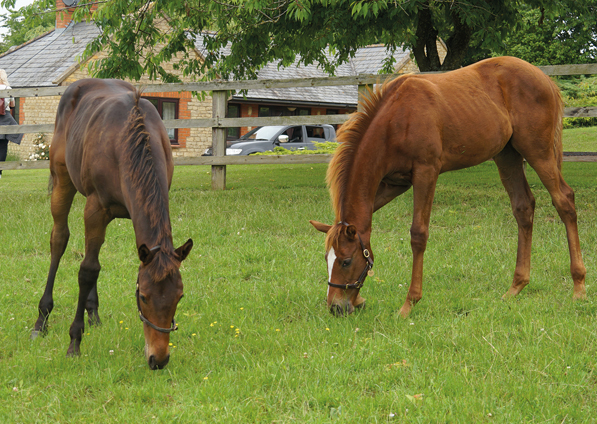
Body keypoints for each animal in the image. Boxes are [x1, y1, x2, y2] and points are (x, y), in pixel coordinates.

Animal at [32, 78, 193, 368]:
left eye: (180, 296)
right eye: (143, 297)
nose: (159, 359)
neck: (132, 141)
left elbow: (94, 264)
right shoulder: (95, 209)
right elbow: (87, 271)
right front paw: (75, 341)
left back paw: (93, 314)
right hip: (62, 181)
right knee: (59, 239)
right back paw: (42, 319)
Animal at [310, 58, 584, 318]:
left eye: (346, 262)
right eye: (326, 259)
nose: (336, 308)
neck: (395, 121)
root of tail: (545, 79)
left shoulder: (426, 173)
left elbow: (418, 235)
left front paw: (409, 304)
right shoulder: (394, 184)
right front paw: (359, 300)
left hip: (538, 152)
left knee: (564, 200)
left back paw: (579, 286)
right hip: (507, 156)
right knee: (524, 207)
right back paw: (516, 287)